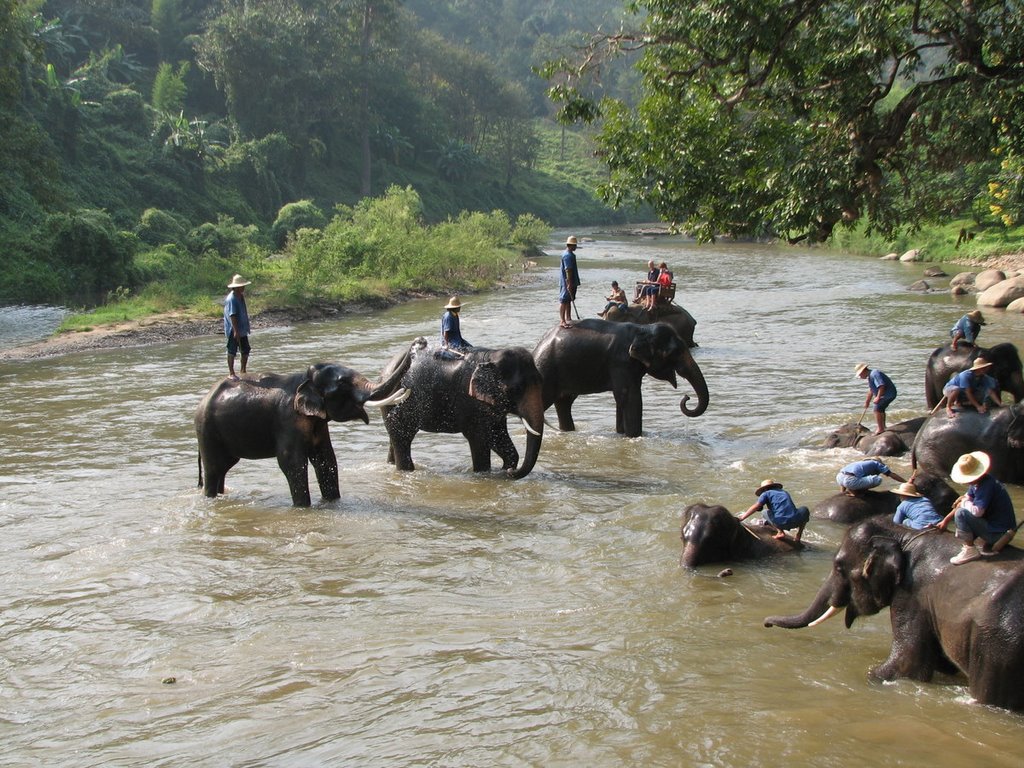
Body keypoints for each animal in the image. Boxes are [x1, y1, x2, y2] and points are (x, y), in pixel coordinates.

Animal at [193, 358, 409, 507]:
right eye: (343, 384)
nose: (416, 343)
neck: (305, 379)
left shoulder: (318, 424)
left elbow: (326, 459)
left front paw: (333, 503)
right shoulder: (287, 420)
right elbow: (291, 462)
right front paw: (303, 508)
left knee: (224, 467)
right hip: (207, 431)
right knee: (214, 469)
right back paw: (210, 499)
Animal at [378, 339, 544, 479]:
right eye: (515, 390)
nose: (511, 472)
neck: (491, 356)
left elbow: (498, 437)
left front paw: (505, 470)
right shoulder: (469, 401)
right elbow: (479, 440)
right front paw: (485, 475)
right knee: (402, 437)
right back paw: (407, 471)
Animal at [532, 319, 708, 438]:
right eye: (673, 353)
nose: (687, 397)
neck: (642, 329)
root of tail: (536, 348)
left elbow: (622, 398)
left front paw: (622, 434)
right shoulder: (621, 362)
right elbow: (630, 397)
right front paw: (634, 436)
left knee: (564, 403)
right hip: (546, 371)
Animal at [765, 518, 1024, 716]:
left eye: (839, 567)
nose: (766, 623)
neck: (904, 534)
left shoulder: (912, 594)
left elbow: (907, 664)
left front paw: (871, 677)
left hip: (997, 646)